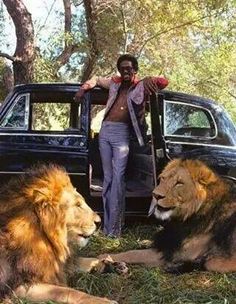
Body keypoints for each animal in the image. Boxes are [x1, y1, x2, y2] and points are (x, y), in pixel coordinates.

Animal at [0, 166, 117, 304]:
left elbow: (80, 261)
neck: (45, 237)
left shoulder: (55, 264)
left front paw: (107, 264)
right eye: (77, 205)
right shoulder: (18, 286)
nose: (99, 222)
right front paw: (104, 301)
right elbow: (66, 291)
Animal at [100, 159, 236, 274]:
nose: (155, 195)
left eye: (179, 183)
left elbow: (134, 253)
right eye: (163, 179)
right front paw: (144, 241)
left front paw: (105, 256)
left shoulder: (180, 252)